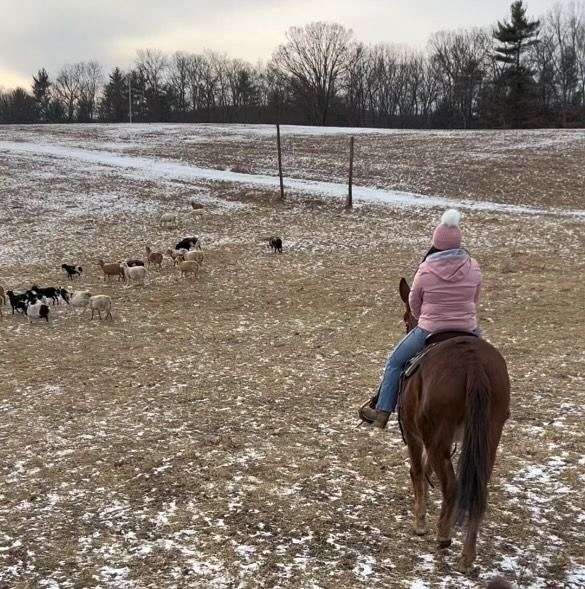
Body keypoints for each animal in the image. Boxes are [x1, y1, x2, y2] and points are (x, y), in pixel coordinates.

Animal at [396, 278, 506, 568]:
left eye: (406, 317)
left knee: (452, 486)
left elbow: (417, 471)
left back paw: (443, 535)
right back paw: (468, 555)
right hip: (489, 436)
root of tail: (473, 363)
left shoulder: (413, 434)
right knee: (478, 489)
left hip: (437, 439)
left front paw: (420, 522)